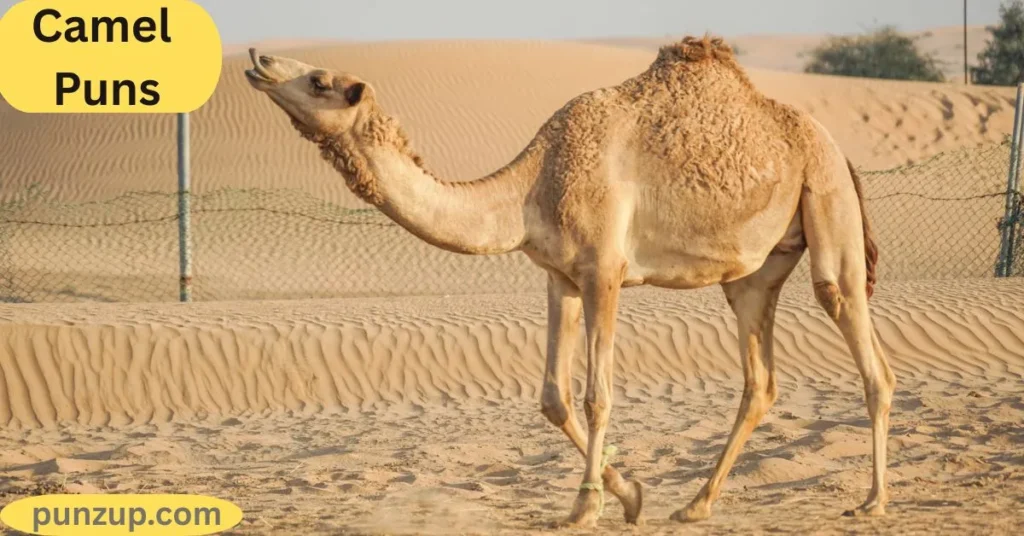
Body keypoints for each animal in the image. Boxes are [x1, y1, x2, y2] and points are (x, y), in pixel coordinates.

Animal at [243, 36, 896, 528]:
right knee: (760, 379)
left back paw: (873, 501)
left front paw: (586, 507)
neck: (530, 186)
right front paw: (629, 495)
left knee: (862, 344)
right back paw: (695, 504)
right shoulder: (560, 277)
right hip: (756, 272)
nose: (257, 56)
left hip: (827, 201)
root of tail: (837, 148)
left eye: (320, 80)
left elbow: (595, 394)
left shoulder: (603, 270)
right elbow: (553, 398)